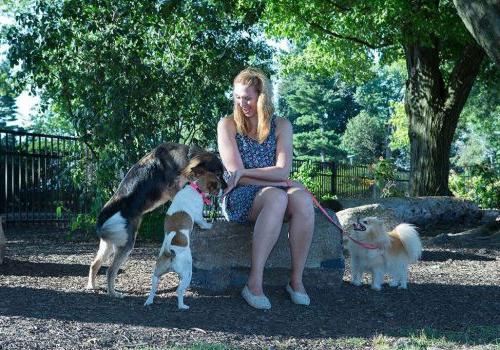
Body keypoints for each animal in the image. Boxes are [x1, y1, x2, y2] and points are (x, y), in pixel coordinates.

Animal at [145, 173, 223, 308]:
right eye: (218, 187)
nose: (224, 190)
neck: (196, 188)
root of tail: (170, 253)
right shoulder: (198, 216)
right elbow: (203, 222)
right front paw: (209, 225)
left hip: (157, 273)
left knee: (153, 288)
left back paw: (148, 301)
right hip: (187, 274)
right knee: (179, 290)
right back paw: (182, 306)